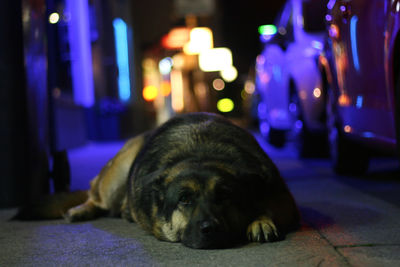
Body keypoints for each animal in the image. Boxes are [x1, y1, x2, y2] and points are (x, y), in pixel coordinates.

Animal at [16, 112, 300, 249]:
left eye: (224, 196)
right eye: (184, 199)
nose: (209, 228)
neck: (201, 151)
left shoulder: (283, 198)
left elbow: (268, 206)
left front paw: (260, 220)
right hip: (118, 171)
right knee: (93, 194)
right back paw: (81, 209)